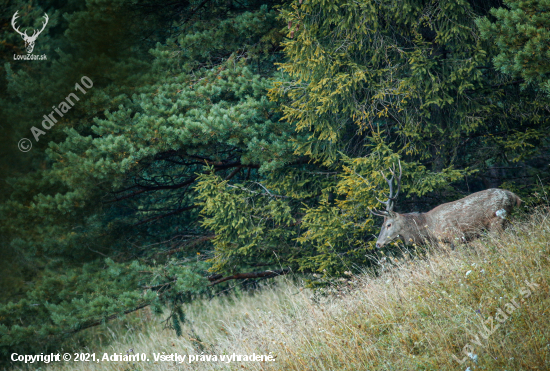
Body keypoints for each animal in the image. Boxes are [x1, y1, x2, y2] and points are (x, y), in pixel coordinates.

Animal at [374, 161, 524, 248]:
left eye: (388, 225)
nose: (378, 244)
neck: (428, 227)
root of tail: (514, 196)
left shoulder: (456, 236)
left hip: (496, 220)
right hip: (507, 220)